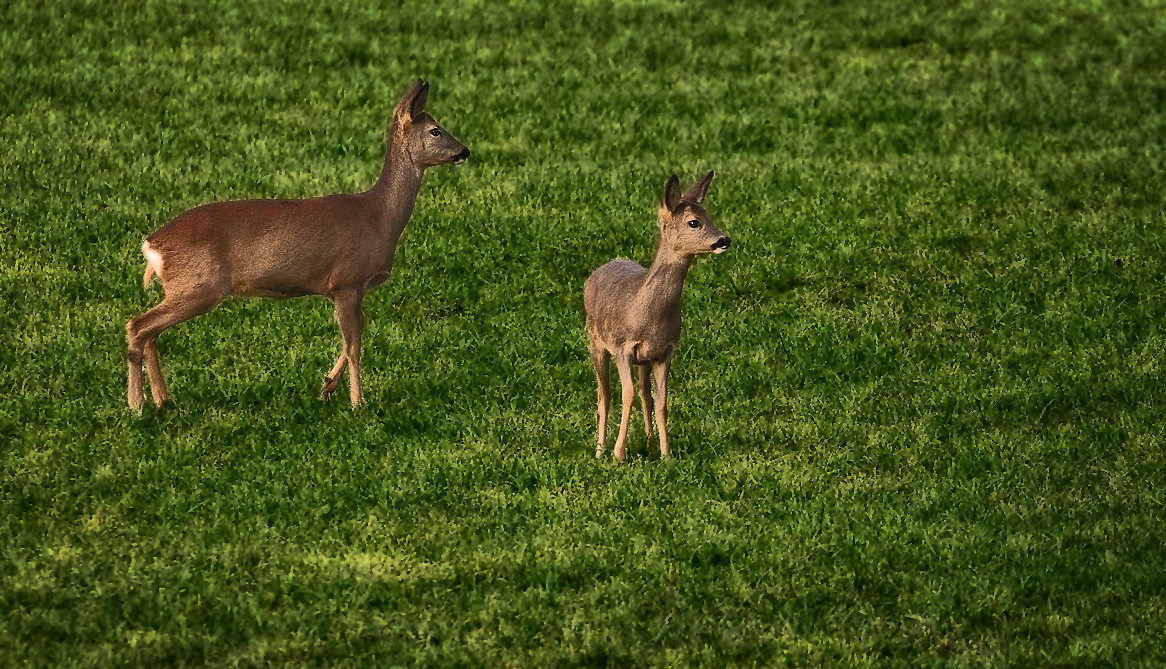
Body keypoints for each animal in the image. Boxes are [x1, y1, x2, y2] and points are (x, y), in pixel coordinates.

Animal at [124, 80, 468, 412]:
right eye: (435, 130)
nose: (464, 151)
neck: (379, 216)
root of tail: (151, 245)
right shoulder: (347, 281)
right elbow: (354, 344)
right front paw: (358, 403)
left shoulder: (347, 289)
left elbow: (352, 338)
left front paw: (327, 387)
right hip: (198, 286)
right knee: (138, 326)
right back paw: (136, 405)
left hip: (186, 289)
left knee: (150, 332)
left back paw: (162, 400)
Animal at [583, 171, 727, 461]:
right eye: (694, 222)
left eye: (709, 216)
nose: (723, 240)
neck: (647, 315)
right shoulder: (623, 348)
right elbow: (626, 395)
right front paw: (618, 454)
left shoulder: (665, 351)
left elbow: (661, 402)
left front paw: (665, 454)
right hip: (595, 341)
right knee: (604, 394)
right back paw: (600, 449)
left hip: (644, 360)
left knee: (645, 392)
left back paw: (648, 443)